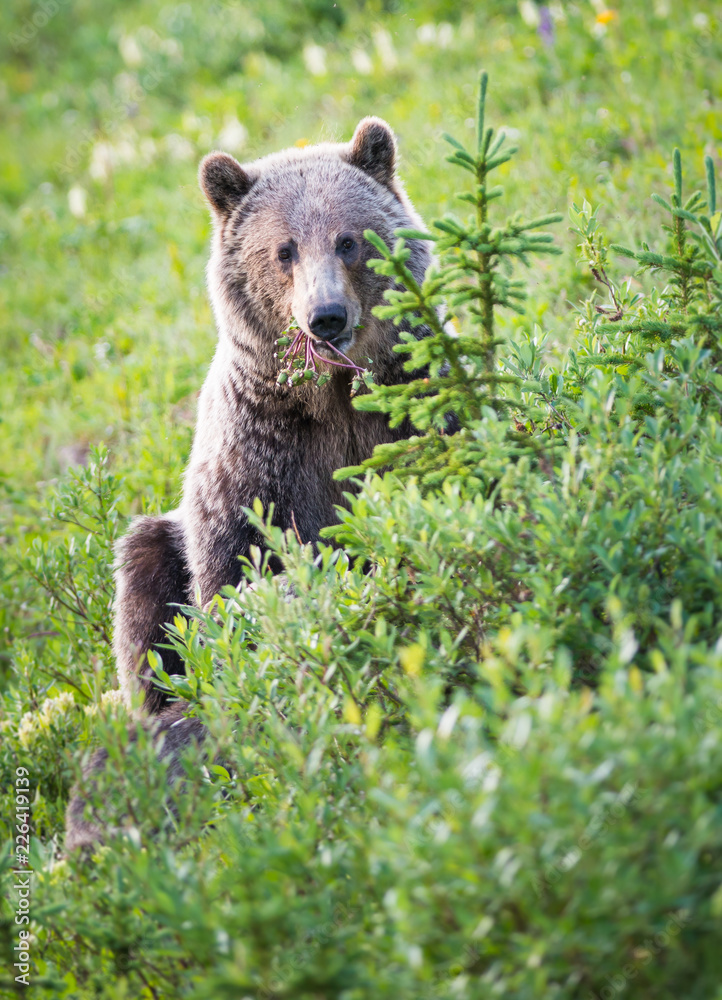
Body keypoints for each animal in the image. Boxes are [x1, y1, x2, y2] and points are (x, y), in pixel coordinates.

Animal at [65, 117, 432, 851]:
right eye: (283, 250)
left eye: (348, 239)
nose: (325, 314)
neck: (332, 395)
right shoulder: (258, 451)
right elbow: (232, 567)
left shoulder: (409, 403)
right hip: (157, 549)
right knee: (144, 584)